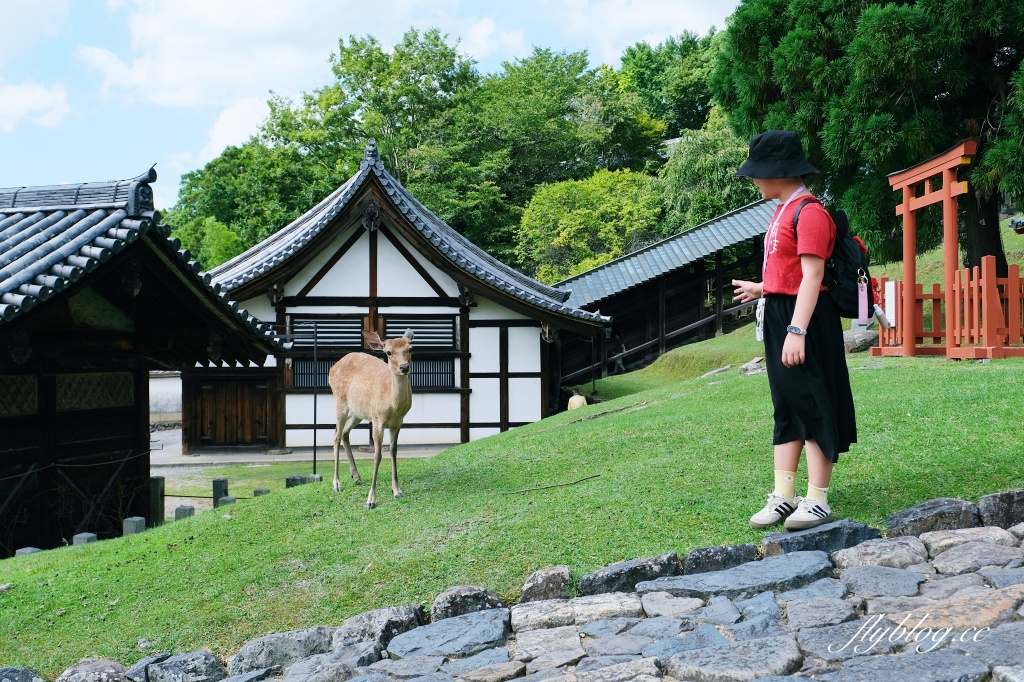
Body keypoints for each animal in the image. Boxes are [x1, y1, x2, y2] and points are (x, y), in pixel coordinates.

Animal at [325, 327, 409, 507]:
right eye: (388, 352)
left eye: (410, 349)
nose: (404, 367)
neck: (393, 406)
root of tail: (333, 366)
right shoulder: (377, 420)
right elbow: (377, 456)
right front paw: (370, 500)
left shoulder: (398, 422)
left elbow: (393, 451)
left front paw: (397, 490)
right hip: (340, 401)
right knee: (336, 435)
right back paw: (336, 484)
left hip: (358, 412)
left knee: (345, 432)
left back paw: (356, 477)